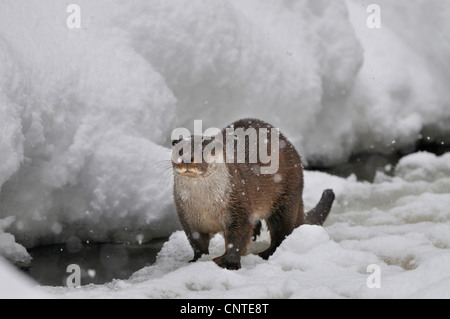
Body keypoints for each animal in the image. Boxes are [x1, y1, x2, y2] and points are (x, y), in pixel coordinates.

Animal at [172, 119, 334, 272]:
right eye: (180, 150)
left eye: (203, 151)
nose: (186, 159)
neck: (206, 206)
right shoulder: (186, 217)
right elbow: (197, 242)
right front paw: (196, 260)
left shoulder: (238, 207)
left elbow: (237, 237)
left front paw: (228, 262)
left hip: (288, 196)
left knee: (282, 232)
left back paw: (266, 253)